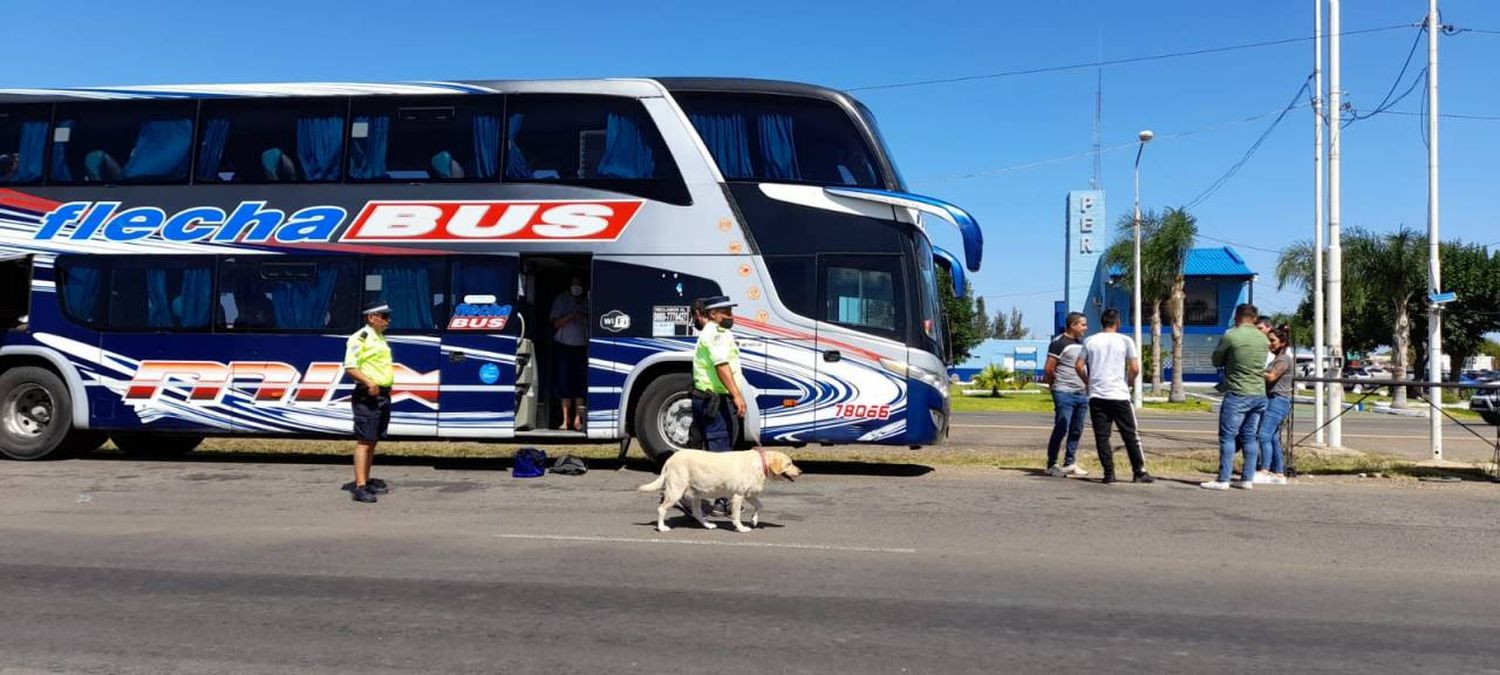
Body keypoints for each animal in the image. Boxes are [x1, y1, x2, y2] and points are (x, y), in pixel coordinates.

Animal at [639, 447, 804, 534]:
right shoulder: (738, 496)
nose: (801, 471)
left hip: (697, 494)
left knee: (697, 513)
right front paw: (741, 528)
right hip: (676, 491)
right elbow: (736, 516)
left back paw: (708, 525)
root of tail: (671, 458)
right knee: (661, 509)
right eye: (789, 464)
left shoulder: (748, 495)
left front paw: (754, 520)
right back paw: (662, 527)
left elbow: (760, 506)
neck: (761, 463)